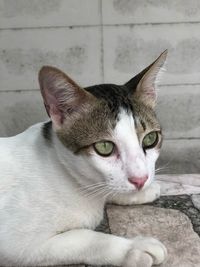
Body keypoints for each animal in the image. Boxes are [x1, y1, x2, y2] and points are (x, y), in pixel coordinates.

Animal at [0, 50, 168, 267]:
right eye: (104, 147)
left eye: (150, 139)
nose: (140, 180)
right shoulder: (15, 243)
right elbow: (86, 238)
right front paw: (134, 248)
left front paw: (141, 192)